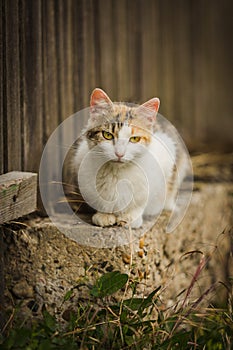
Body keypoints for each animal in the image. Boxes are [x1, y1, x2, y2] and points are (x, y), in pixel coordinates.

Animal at [73, 89, 189, 228]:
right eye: (107, 135)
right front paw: (104, 215)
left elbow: (142, 199)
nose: (119, 153)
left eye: (134, 139)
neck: (116, 173)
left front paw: (130, 217)